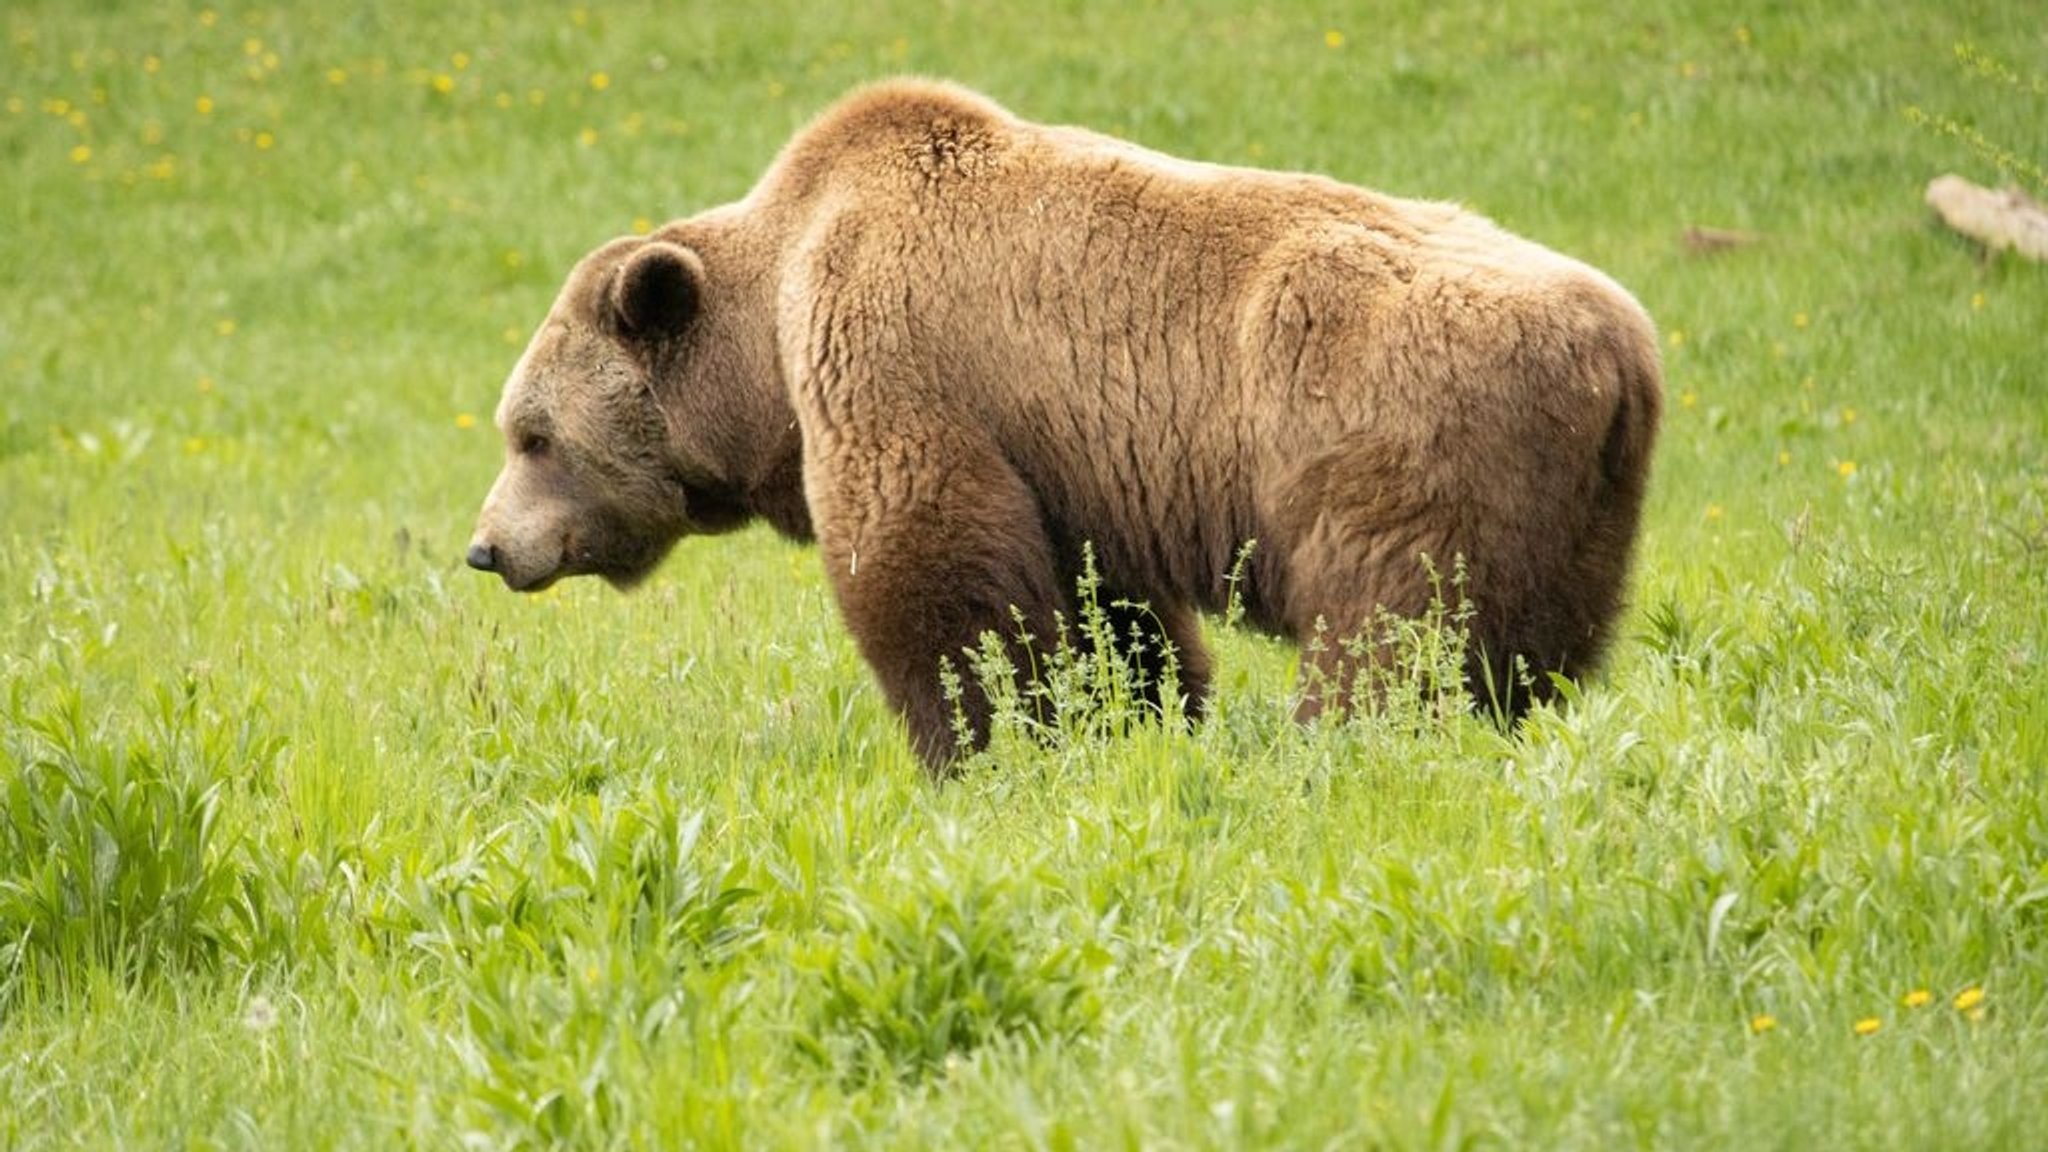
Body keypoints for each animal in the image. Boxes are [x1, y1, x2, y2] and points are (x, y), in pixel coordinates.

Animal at [468, 73, 1662, 770]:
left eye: (533, 435)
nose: (486, 547)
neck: (763, 345)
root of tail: (1621, 350)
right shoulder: (1074, 456)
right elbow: (1103, 606)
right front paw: (1128, 717)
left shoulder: (898, 353)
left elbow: (931, 564)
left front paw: (978, 744)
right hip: (1574, 515)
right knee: (1533, 650)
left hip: (1397, 438)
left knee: (1391, 628)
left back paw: (1346, 747)